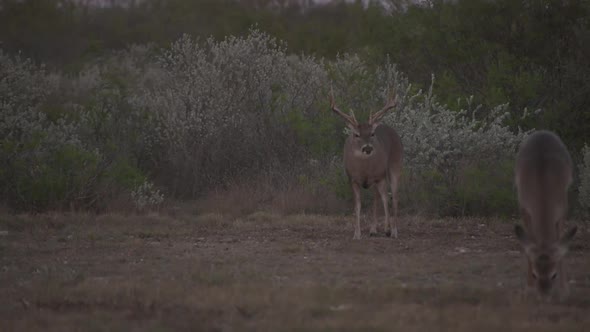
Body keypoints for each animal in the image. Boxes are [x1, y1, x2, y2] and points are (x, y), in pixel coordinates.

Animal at [330, 90, 404, 239]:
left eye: (372, 133)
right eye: (356, 134)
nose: (368, 148)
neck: (364, 170)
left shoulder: (380, 176)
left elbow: (386, 200)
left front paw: (388, 230)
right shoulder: (352, 179)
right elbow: (357, 205)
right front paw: (356, 234)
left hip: (395, 165)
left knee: (393, 197)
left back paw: (393, 231)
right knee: (376, 198)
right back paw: (373, 229)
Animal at [520, 130, 580, 298]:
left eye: (554, 274)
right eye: (535, 274)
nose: (544, 295)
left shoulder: (562, 210)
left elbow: (561, 246)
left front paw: (564, 289)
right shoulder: (524, 207)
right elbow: (527, 247)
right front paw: (528, 288)